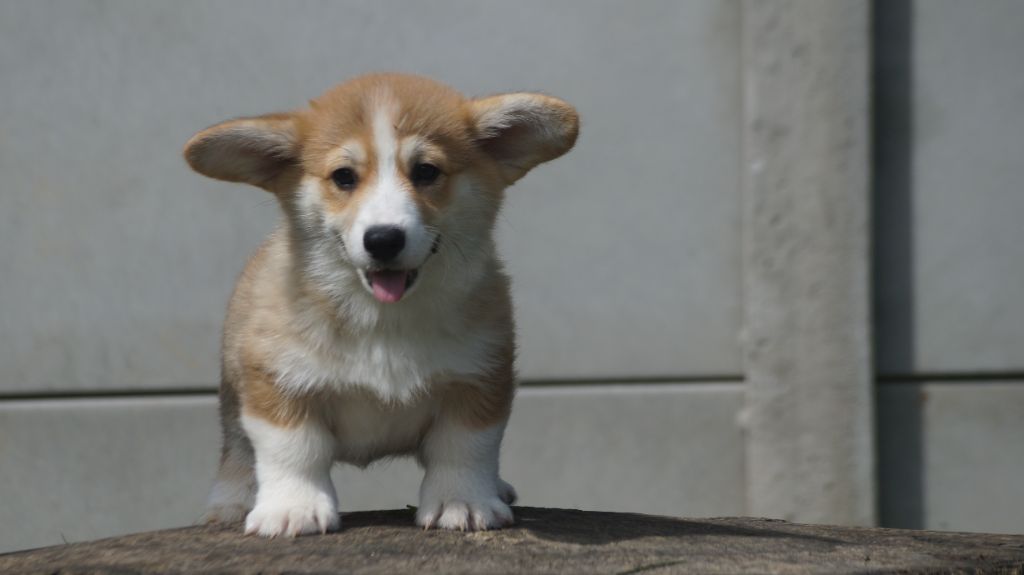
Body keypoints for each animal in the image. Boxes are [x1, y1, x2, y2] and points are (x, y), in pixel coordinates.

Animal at [182, 73, 577, 536]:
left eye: (426, 171)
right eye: (343, 177)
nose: (384, 239)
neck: (382, 316)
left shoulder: (479, 377)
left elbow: (464, 447)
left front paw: (462, 502)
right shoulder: (276, 382)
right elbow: (294, 449)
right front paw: (293, 508)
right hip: (232, 393)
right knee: (238, 448)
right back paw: (232, 501)